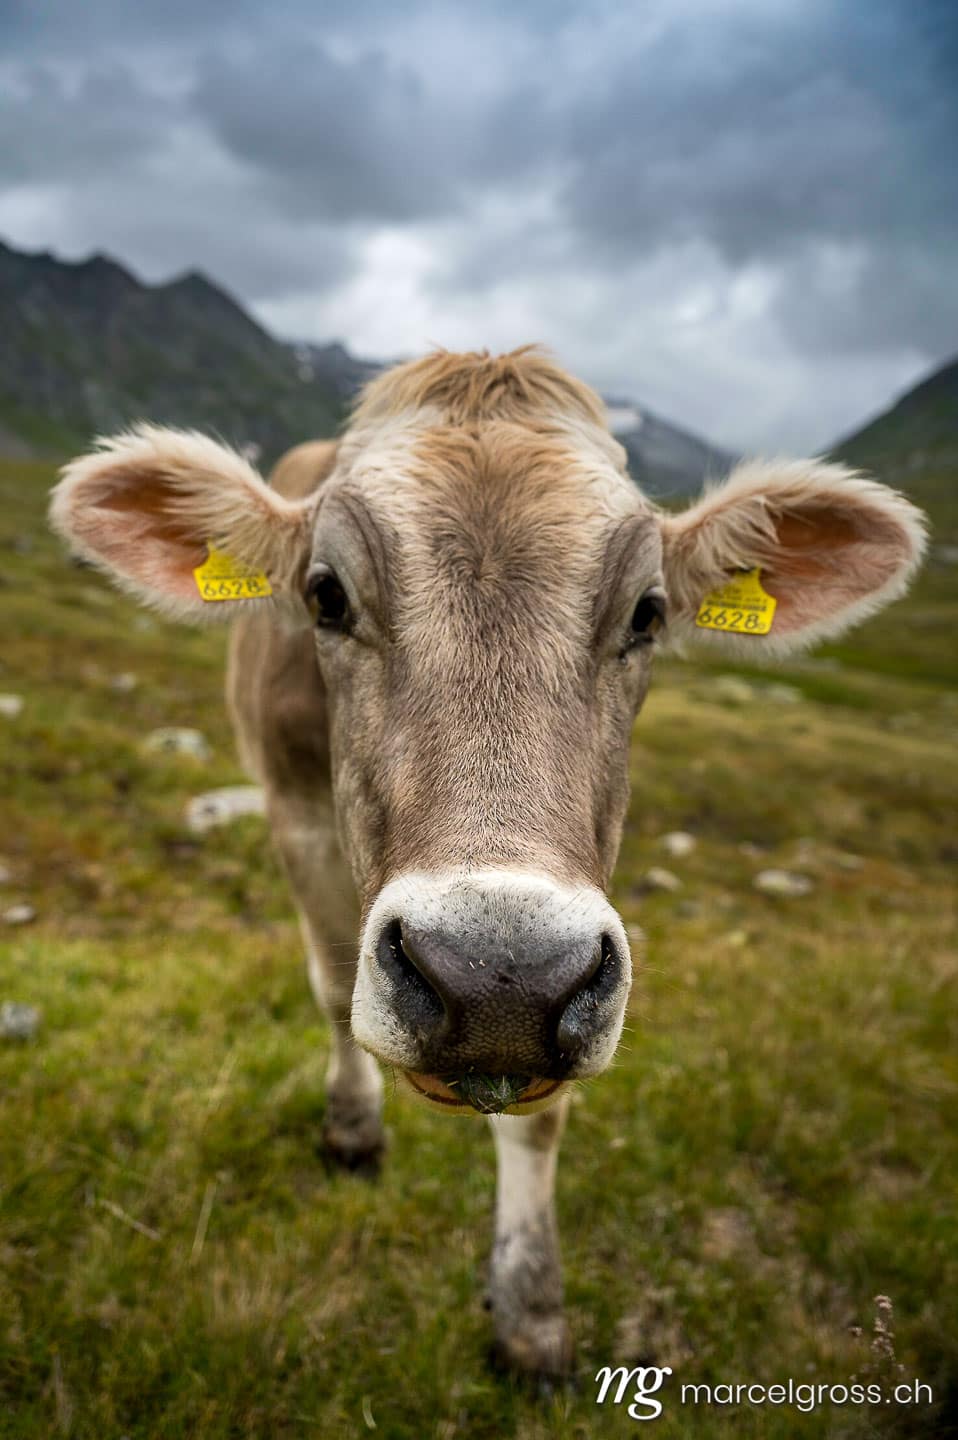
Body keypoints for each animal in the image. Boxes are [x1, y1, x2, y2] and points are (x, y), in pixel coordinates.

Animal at [50, 348, 926, 1376]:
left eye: (648, 613)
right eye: (325, 594)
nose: (498, 979)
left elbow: (543, 1119)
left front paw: (531, 1309)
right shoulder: (292, 809)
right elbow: (329, 989)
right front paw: (352, 1130)